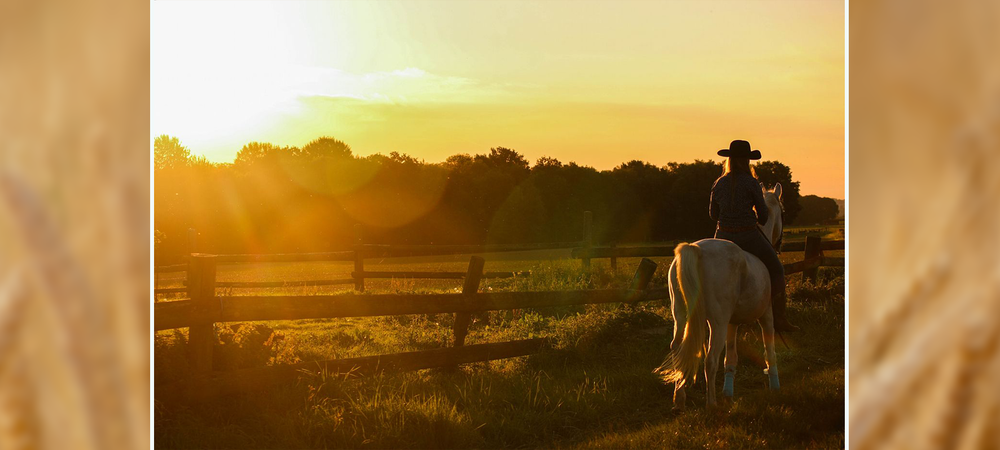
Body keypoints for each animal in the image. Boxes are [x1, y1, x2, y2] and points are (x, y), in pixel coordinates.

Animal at [656, 184, 788, 412]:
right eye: (782, 211)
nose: (779, 244)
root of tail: (695, 249)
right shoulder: (766, 316)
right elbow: (769, 351)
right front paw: (775, 387)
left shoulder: (732, 323)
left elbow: (731, 358)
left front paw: (729, 393)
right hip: (716, 322)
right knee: (710, 359)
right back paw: (712, 404)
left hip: (681, 317)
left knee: (677, 349)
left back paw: (679, 400)